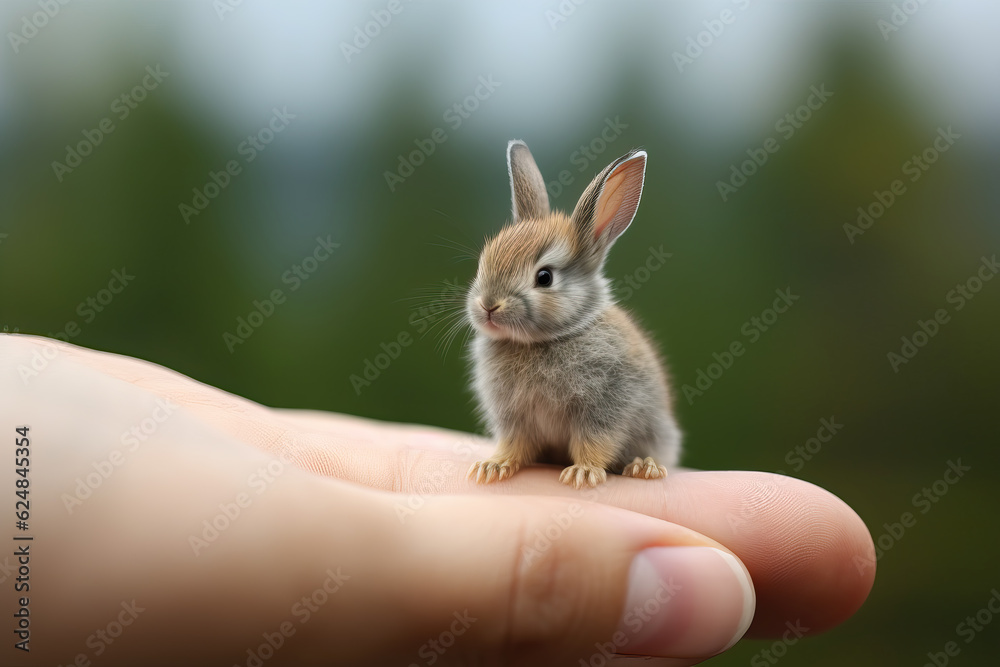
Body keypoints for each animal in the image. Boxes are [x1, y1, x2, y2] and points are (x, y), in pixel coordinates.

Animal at [465, 139, 682, 489]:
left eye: (544, 278)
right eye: (483, 263)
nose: (488, 305)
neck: (544, 340)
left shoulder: (605, 406)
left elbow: (594, 442)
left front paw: (583, 473)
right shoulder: (514, 419)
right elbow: (514, 445)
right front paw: (493, 466)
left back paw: (644, 467)